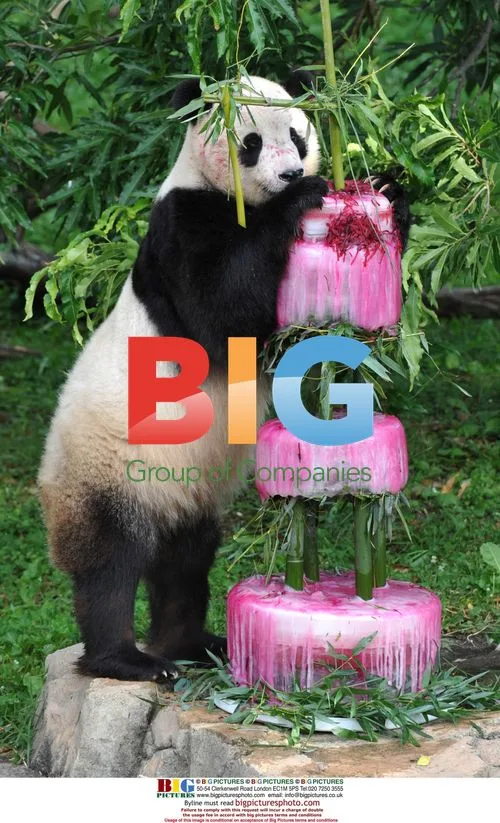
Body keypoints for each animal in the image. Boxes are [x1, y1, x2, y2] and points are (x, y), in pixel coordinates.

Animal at [39, 72, 410, 683]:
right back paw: (127, 660)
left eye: (298, 135)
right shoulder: (183, 224)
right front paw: (298, 201)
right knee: (110, 565)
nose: (290, 174)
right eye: (251, 143)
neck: (236, 198)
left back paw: (190, 644)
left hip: (187, 490)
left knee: (185, 562)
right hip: (107, 470)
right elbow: (223, 313)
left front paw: (391, 191)